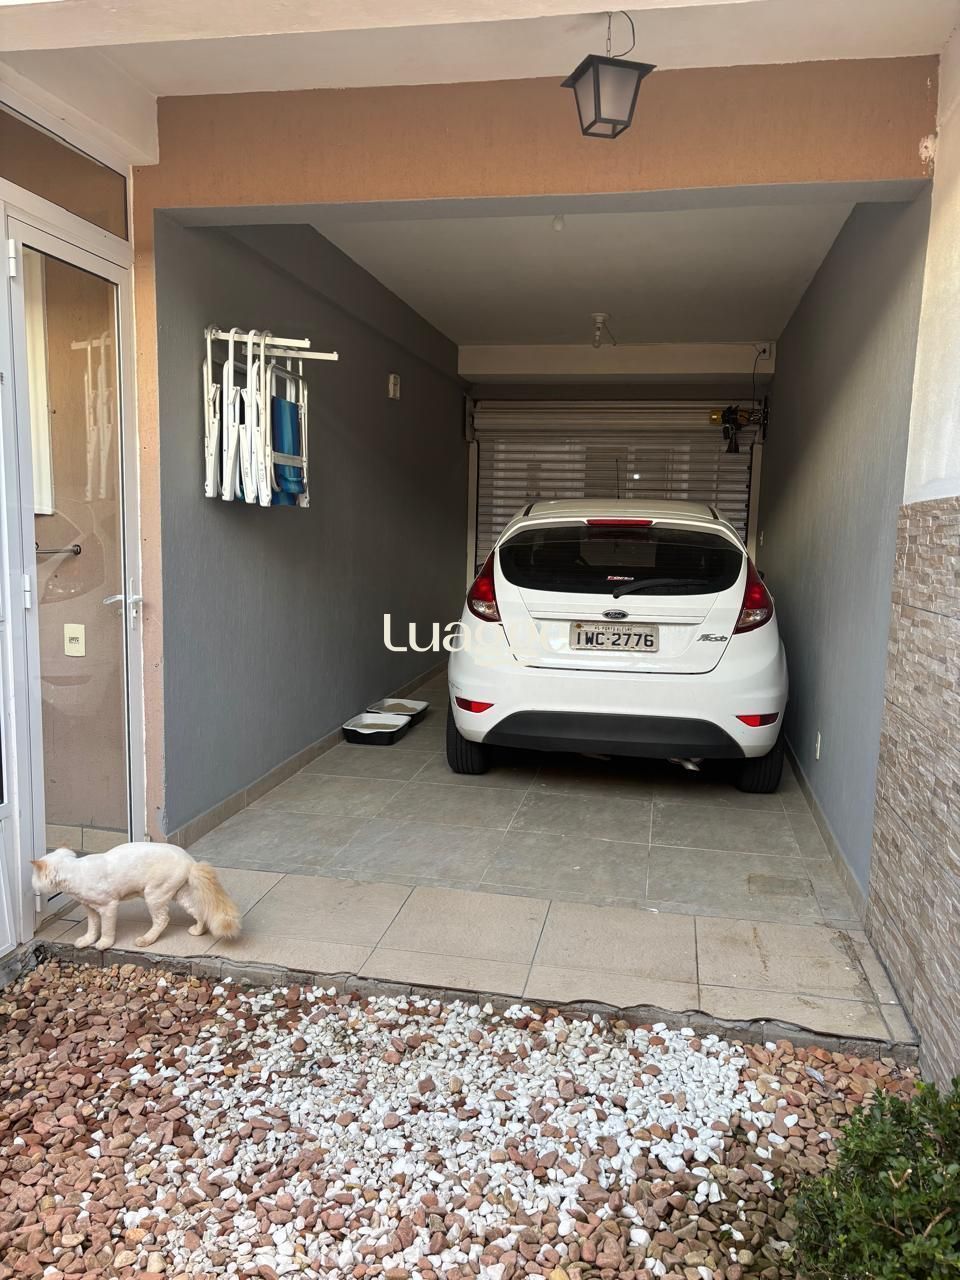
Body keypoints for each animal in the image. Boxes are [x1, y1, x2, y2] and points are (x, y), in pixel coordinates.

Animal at [32, 843, 241, 951]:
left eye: (34, 876)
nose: (32, 883)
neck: (75, 871)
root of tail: (190, 861)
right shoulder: (90, 908)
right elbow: (92, 928)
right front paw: (86, 941)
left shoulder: (109, 906)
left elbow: (106, 930)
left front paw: (103, 944)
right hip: (179, 894)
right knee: (199, 912)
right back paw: (197, 931)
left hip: (154, 894)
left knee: (163, 920)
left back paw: (146, 940)